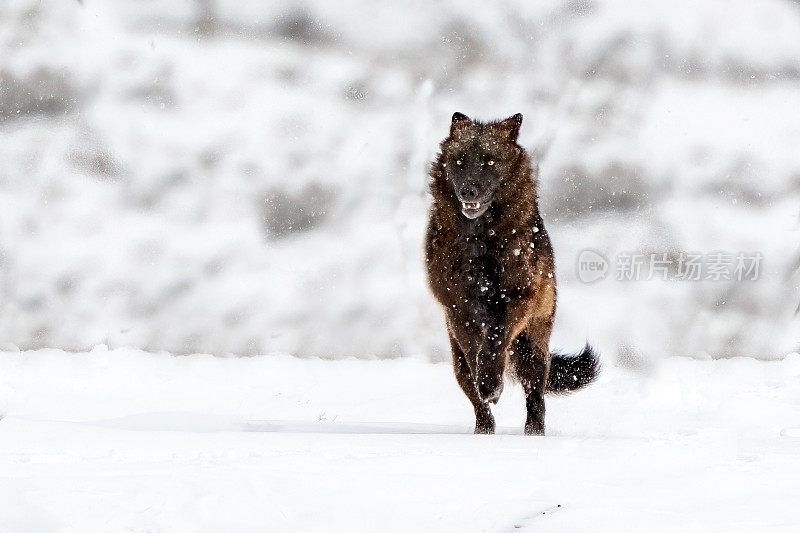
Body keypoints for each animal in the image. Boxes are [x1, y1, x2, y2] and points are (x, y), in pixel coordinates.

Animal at [428, 111, 596, 432]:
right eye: (460, 161)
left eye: (490, 161)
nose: (468, 190)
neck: (479, 240)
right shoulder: (457, 308)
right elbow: (475, 353)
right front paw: (487, 383)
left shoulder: (517, 297)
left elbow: (495, 340)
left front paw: (492, 381)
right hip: (457, 363)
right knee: (476, 400)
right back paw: (483, 428)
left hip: (533, 348)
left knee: (536, 397)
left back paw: (532, 433)